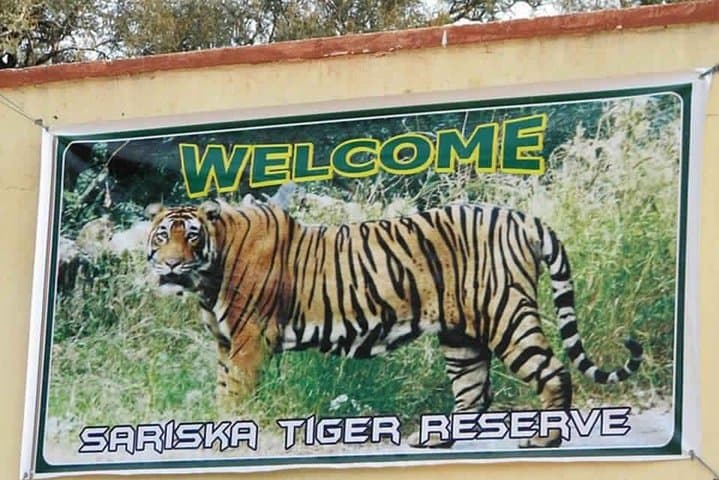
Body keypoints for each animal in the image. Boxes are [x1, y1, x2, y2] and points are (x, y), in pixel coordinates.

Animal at [145, 197, 643, 449]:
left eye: (191, 237)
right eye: (162, 236)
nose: (170, 265)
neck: (209, 273)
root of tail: (522, 217)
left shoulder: (249, 340)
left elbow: (233, 395)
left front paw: (226, 434)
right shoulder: (225, 344)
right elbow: (220, 390)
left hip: (506, 313)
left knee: (553, 371)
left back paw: (545, 439)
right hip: (461, 335)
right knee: (473, 392)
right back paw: (434, 441)